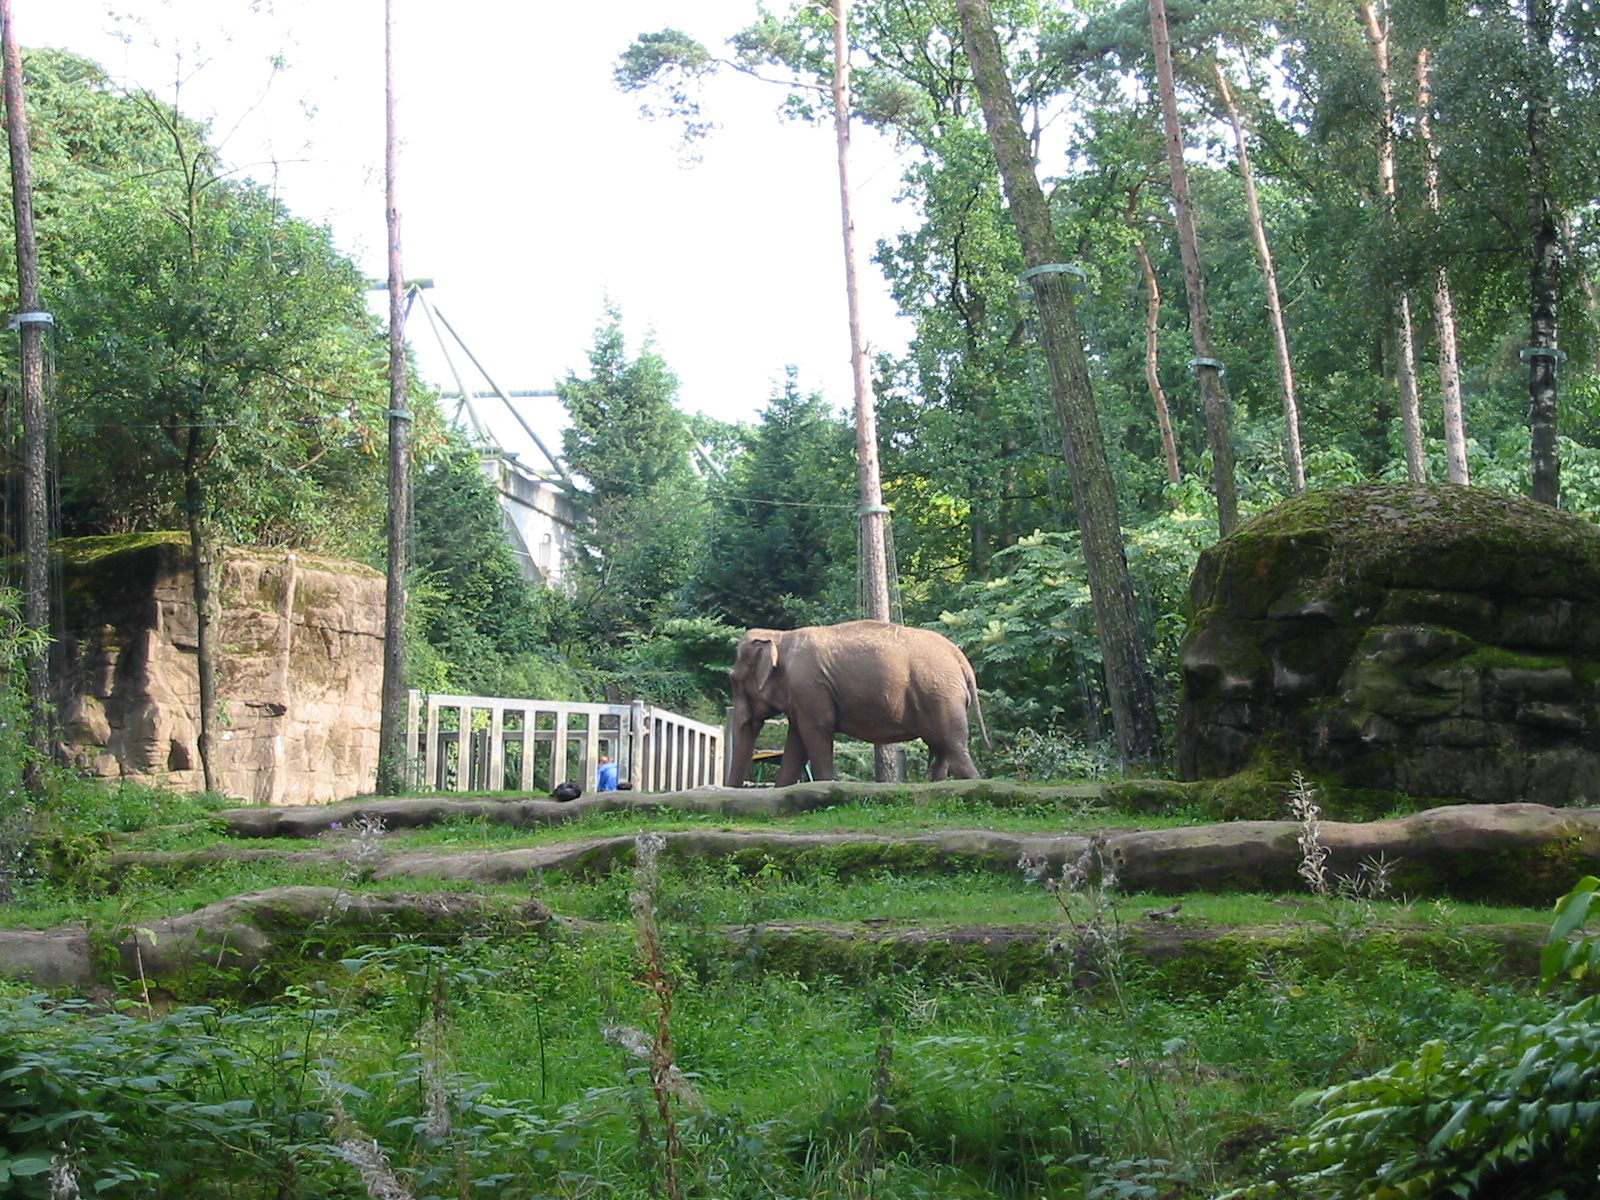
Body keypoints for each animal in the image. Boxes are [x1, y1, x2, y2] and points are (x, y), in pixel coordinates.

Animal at [724, 619, 987, 787]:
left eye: (734, 679)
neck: (780, 636)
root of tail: (960, 658)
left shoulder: (809, 687)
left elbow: (816, 732)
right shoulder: (803, 696)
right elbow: (797, 740)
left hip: (940, 696)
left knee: (954, 748)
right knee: (943, 749)